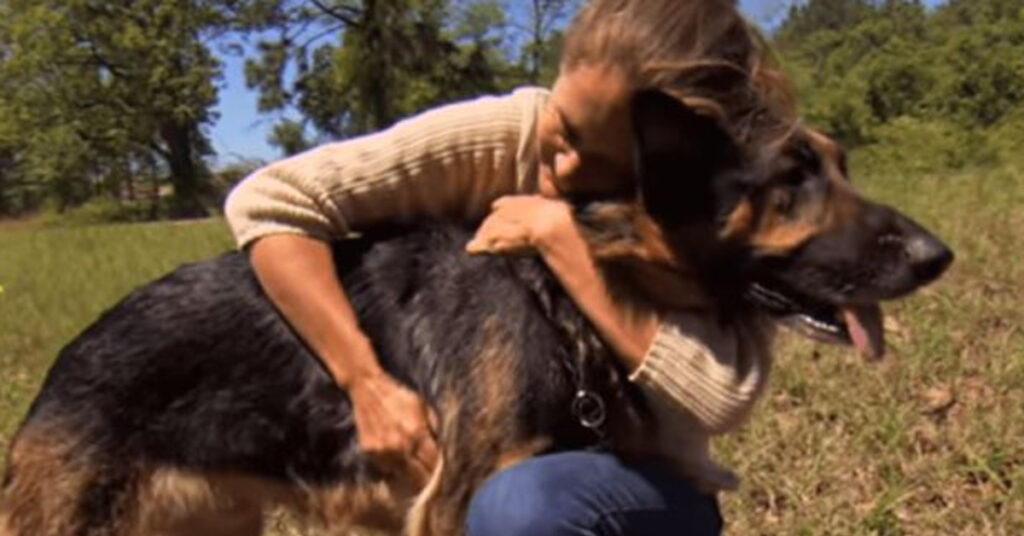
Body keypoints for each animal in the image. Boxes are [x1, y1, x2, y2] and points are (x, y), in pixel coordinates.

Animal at [0, 90, 950, 532]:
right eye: (792, 176)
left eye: (840, 164)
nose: (938, 257)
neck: (560, 299)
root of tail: (64, 365)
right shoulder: (456, 502)